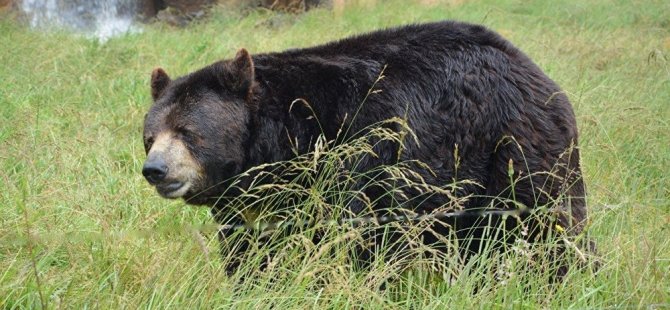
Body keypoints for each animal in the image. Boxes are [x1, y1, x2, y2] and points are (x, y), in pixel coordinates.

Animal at [140, 21, 588, 274]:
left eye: (187, 131)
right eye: (149, 136)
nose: (155, 170)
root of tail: (532, 68)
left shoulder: (355, 160)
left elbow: (347, 241)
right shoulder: (251, 207)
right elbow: (250, 252)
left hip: (512, 149)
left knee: (546, 223)